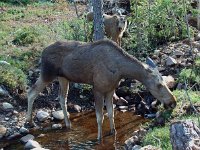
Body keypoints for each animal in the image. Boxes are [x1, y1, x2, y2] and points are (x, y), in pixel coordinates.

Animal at [25, 39, 176, 141]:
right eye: (159, 84)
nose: (173, 102)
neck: (120, 71)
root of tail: (42, 52)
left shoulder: (110, 90)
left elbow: (111, 112)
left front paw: (113, 132)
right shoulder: (97, 88)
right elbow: (99, 116)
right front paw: (99, 138)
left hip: (63, 78)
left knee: (62, 98)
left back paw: (68, 124)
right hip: (47, 74)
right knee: (31, 92)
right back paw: (30, 122)